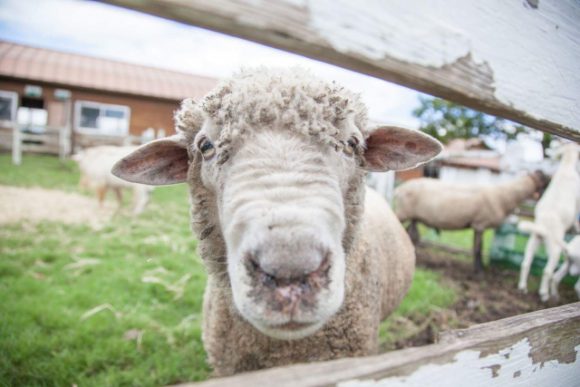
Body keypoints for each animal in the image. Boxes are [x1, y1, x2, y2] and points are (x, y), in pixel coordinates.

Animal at [392, 171, 548, 274]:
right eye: (545, 180)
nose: (544, 196)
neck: (505, 195)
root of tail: (399, 189)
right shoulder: (480, 224)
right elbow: (478, 248)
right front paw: (479, 270)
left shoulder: (477, 225)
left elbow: (476, 247)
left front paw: (480, 267)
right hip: (403, 212)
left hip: (414, 217)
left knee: (411, 235)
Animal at [520, 143, 576, 304]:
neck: (567, 166)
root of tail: (543, 227)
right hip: (555, 247)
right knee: (547, 270)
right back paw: (544, 294)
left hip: (533, 239)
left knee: (526, 263)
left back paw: (523, 288)